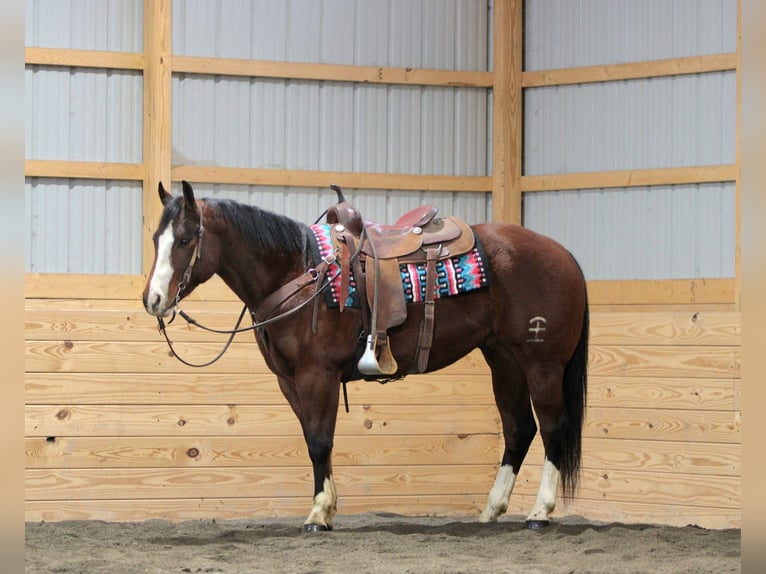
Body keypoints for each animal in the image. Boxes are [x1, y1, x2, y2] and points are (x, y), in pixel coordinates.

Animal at [143, 180, 589, 532]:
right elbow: (313, 440)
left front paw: (318, 514)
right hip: (504, 360)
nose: (154, 300)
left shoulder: (317, 375)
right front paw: (327, 507)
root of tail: (565, 255)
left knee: (552, 428)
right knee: (519, 429)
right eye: (155, 240)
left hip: (542, 363)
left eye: (185, 240)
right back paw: (491, 510)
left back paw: (539, 513)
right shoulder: (290, 382)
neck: (300, 274)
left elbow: (320, 441)